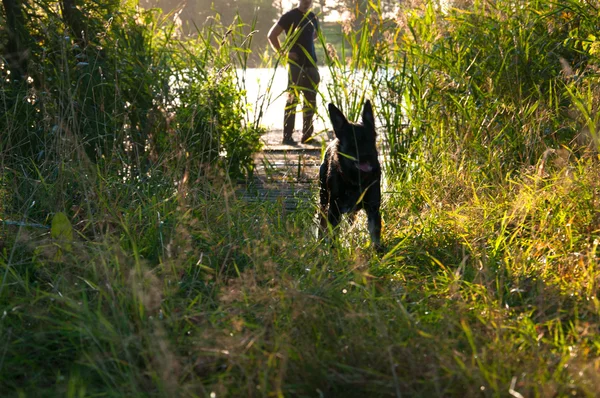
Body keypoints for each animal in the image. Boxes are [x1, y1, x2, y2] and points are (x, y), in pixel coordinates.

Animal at [322, 99, 382, 249]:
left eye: (371, 140)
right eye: (353, 142)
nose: (368, 156)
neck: (356, 179)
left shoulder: (373, 209)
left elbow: (375, 236)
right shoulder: (334, 210)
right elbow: (332, 235)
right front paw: (333, 251)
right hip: (323, 199)